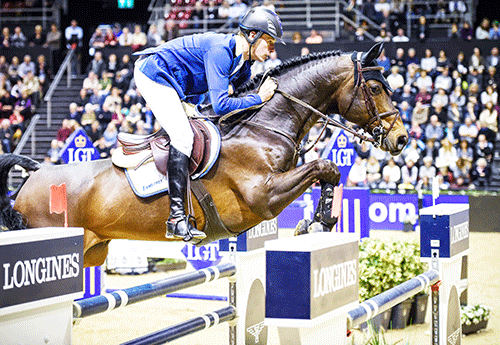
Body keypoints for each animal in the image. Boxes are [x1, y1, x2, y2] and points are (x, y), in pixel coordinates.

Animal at [0, 42, 406, 266]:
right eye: (375, 88)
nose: (401, 139)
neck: (263, 127)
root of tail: (33, 174)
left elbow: (329, 170)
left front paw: (319, 221)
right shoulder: (263, 196)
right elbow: (324, 166)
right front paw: (319, 221)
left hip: (91, 252)